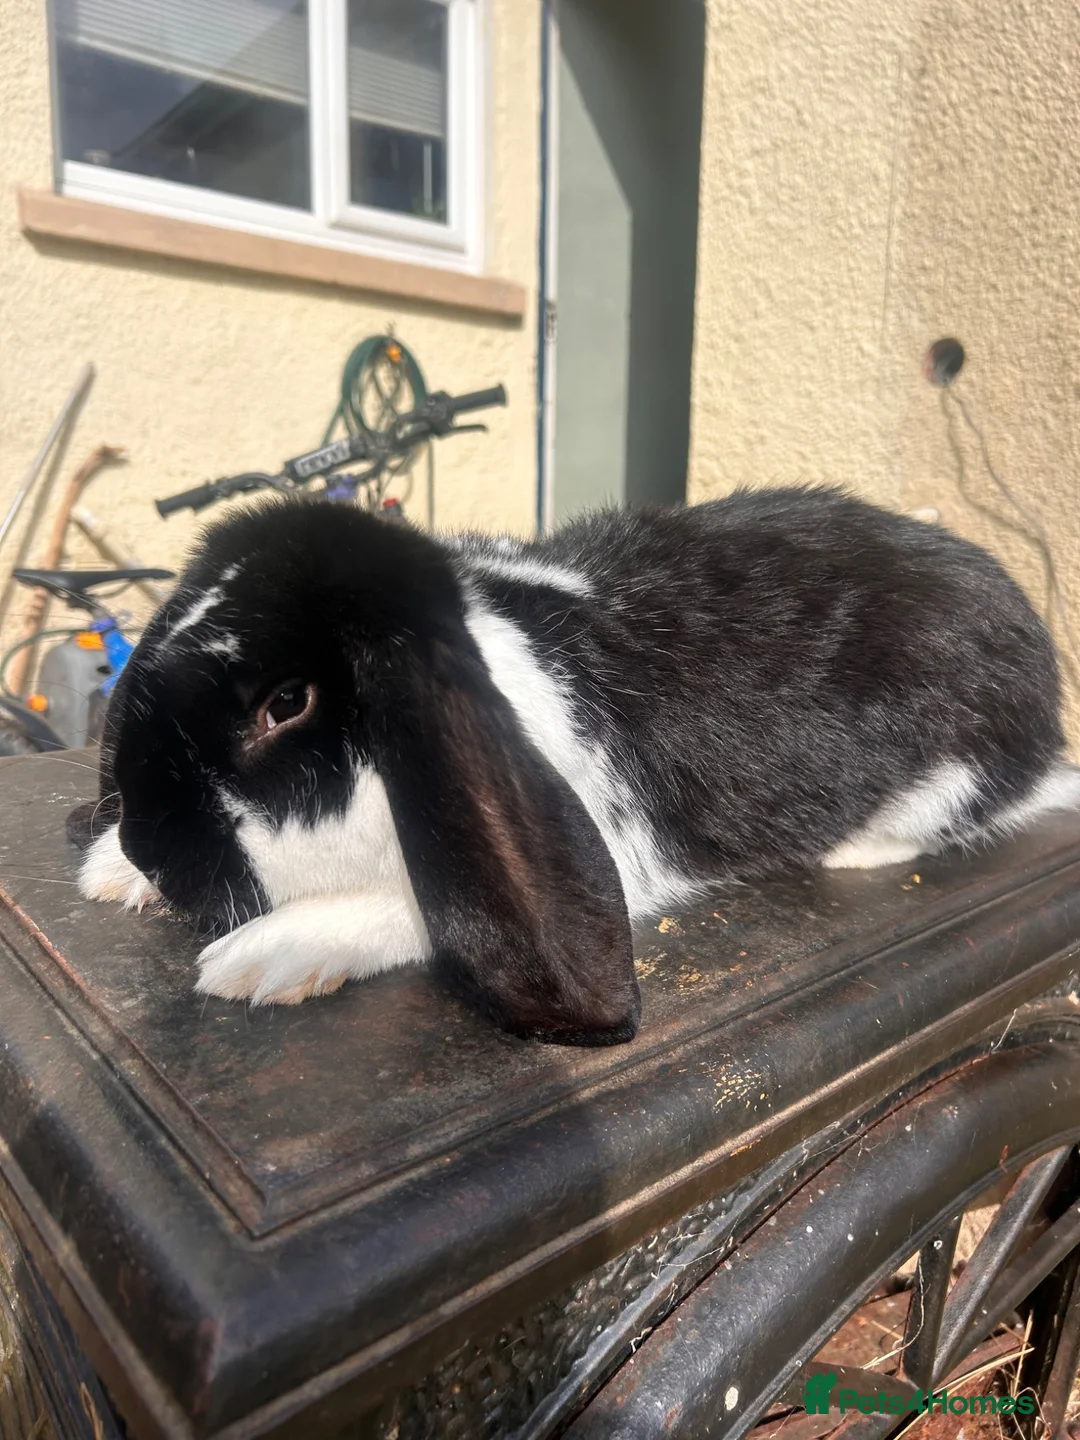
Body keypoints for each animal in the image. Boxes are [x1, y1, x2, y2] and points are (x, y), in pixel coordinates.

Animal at [70, 486, 1080, 1046]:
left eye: (287, 703)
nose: (152, 846)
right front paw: (111, 873)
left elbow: (424, 911)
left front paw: (265, 957)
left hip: (953, 770)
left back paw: (853, 850)